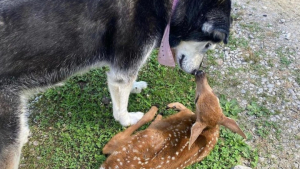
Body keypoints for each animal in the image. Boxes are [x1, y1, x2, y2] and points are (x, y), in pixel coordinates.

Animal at [0, 0, 231, 167]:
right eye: (208, 45)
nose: (197, 71)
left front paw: (136, 86)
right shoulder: (122, 72)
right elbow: (121, 108)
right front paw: (128, 119)